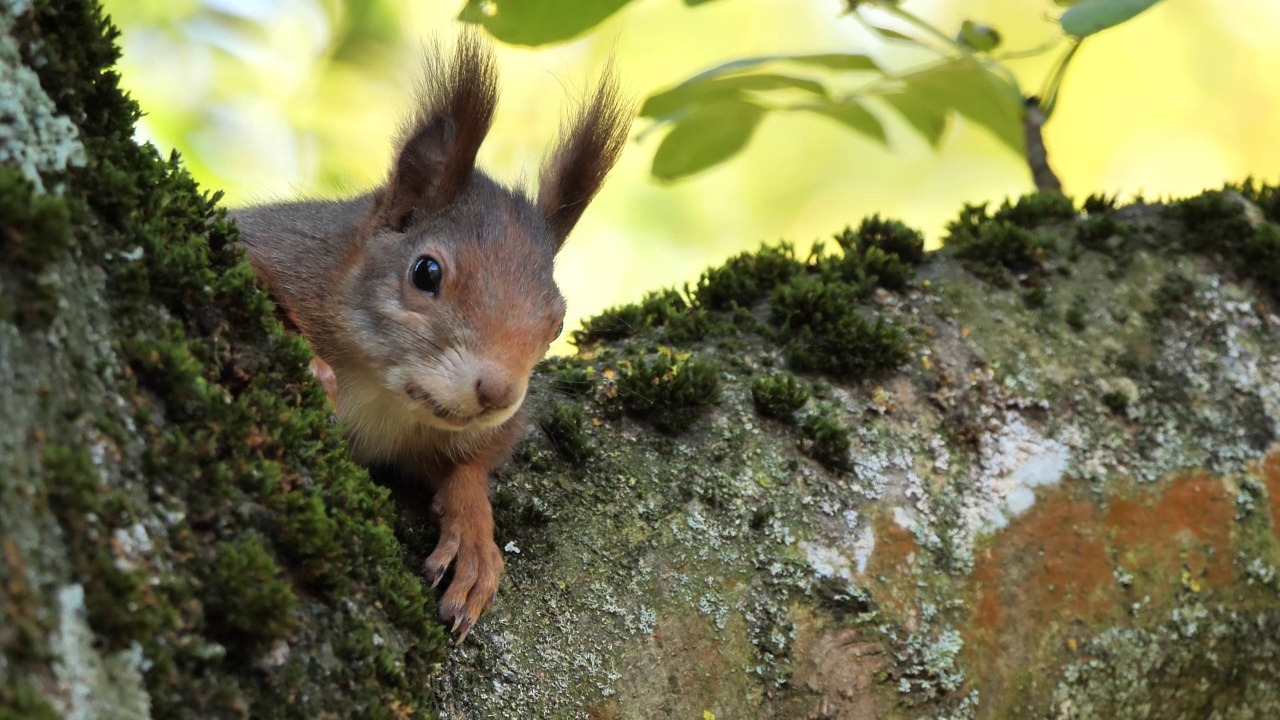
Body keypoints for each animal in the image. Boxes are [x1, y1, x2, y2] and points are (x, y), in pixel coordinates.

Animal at [232, 32, 632, 638]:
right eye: (426, 272)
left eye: (558, 321)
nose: (498, 393)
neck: (383, 397)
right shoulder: (283, 252)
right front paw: (312, 366)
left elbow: (476, 463)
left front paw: (473, 532)